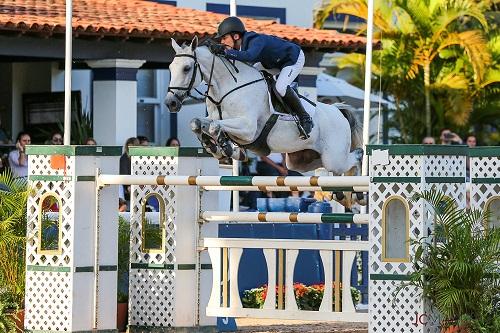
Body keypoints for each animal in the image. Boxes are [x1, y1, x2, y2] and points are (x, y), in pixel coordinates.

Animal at [165, 37, 364, 175]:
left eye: (187, 68)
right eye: (170, 68)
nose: (170, 103)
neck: (226, 87)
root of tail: (338, 112)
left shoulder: (248, 128)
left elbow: (215, 126)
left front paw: (224, 146)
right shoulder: (216, 119)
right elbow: (197, 122)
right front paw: (214, 147)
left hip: (334, 158)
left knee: (353, 159)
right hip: (301, 161)